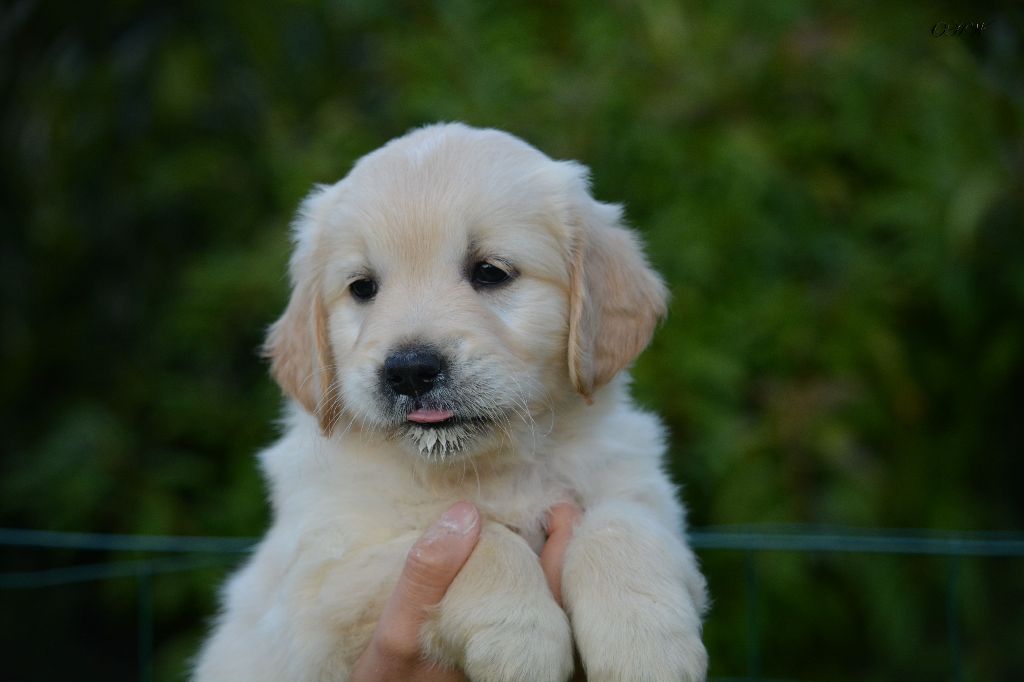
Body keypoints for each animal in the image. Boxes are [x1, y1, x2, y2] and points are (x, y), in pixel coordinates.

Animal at [194, 123, 708, 681]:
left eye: (491, 272)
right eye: (362, 288)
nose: (410, 370)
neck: (484, 469)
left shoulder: (643, 491)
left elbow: (622, 525)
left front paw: (645, 644)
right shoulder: (323, 581)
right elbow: (469, 540)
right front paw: (519, 637)